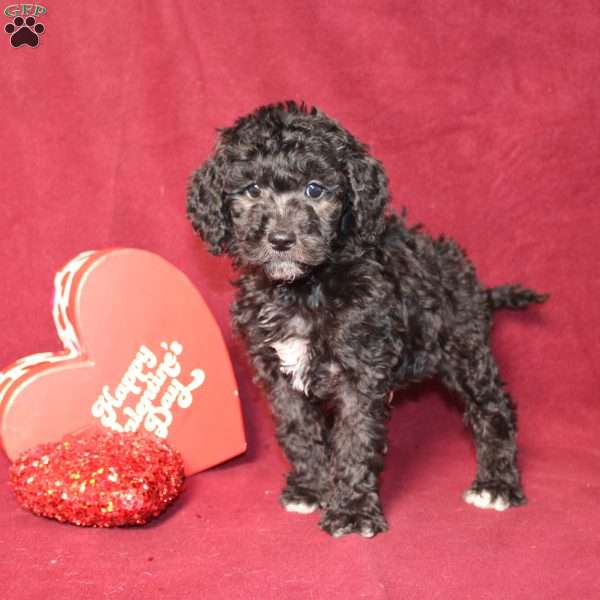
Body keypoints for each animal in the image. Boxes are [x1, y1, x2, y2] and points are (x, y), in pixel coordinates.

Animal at [188, 102, 548, 540]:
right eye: (252, 189)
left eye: (315, 189)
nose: (281, 240)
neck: (303, 287)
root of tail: (472, 282)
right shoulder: (276, 371)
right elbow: (298, 430)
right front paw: (311, 488)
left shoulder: (360, 372)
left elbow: (355, 439)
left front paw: (352, 511)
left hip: (464, 349)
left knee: (494, 407)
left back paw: (496, 484)